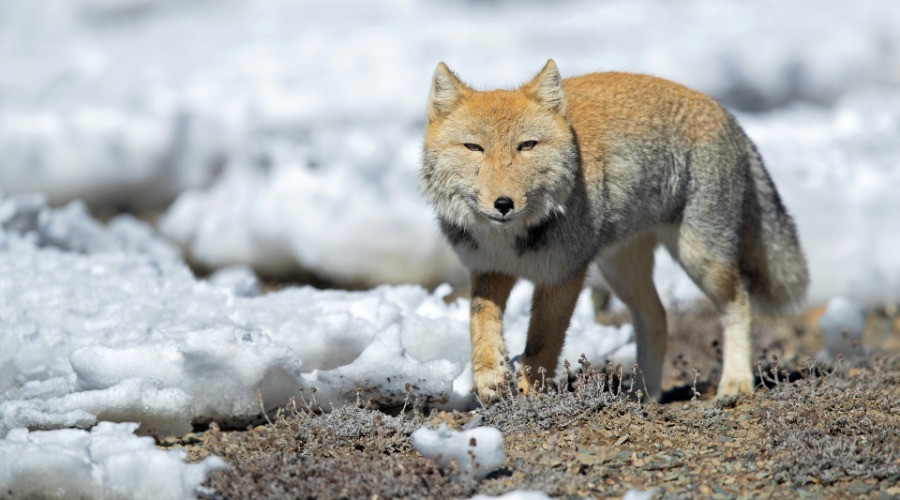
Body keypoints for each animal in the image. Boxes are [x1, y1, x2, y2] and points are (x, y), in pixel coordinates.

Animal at [421, 60, 808, 404]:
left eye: (526, 146)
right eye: (474, 147)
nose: (503, 204)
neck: (510, 240)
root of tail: (727, 114)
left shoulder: (564, 276)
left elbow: (540, 347)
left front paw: (530, 399)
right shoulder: (489, 270)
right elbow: (480, 328)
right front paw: (489, 379)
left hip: (702, 261)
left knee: (739, 304)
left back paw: (735, 383)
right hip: (621, 272)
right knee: (658, 317)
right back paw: (643, 396)